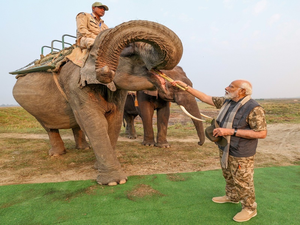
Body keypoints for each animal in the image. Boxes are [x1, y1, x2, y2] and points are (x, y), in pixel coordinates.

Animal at [11, 19, 183, 185]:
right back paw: (56, 155)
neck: (90, 51)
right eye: (128, 48)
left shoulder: (118, 90)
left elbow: (114, 120)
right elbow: (94, 121)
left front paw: (98, 167)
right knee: (49, 126)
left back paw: (83, 149)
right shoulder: (75, 84)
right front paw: (115, 181)